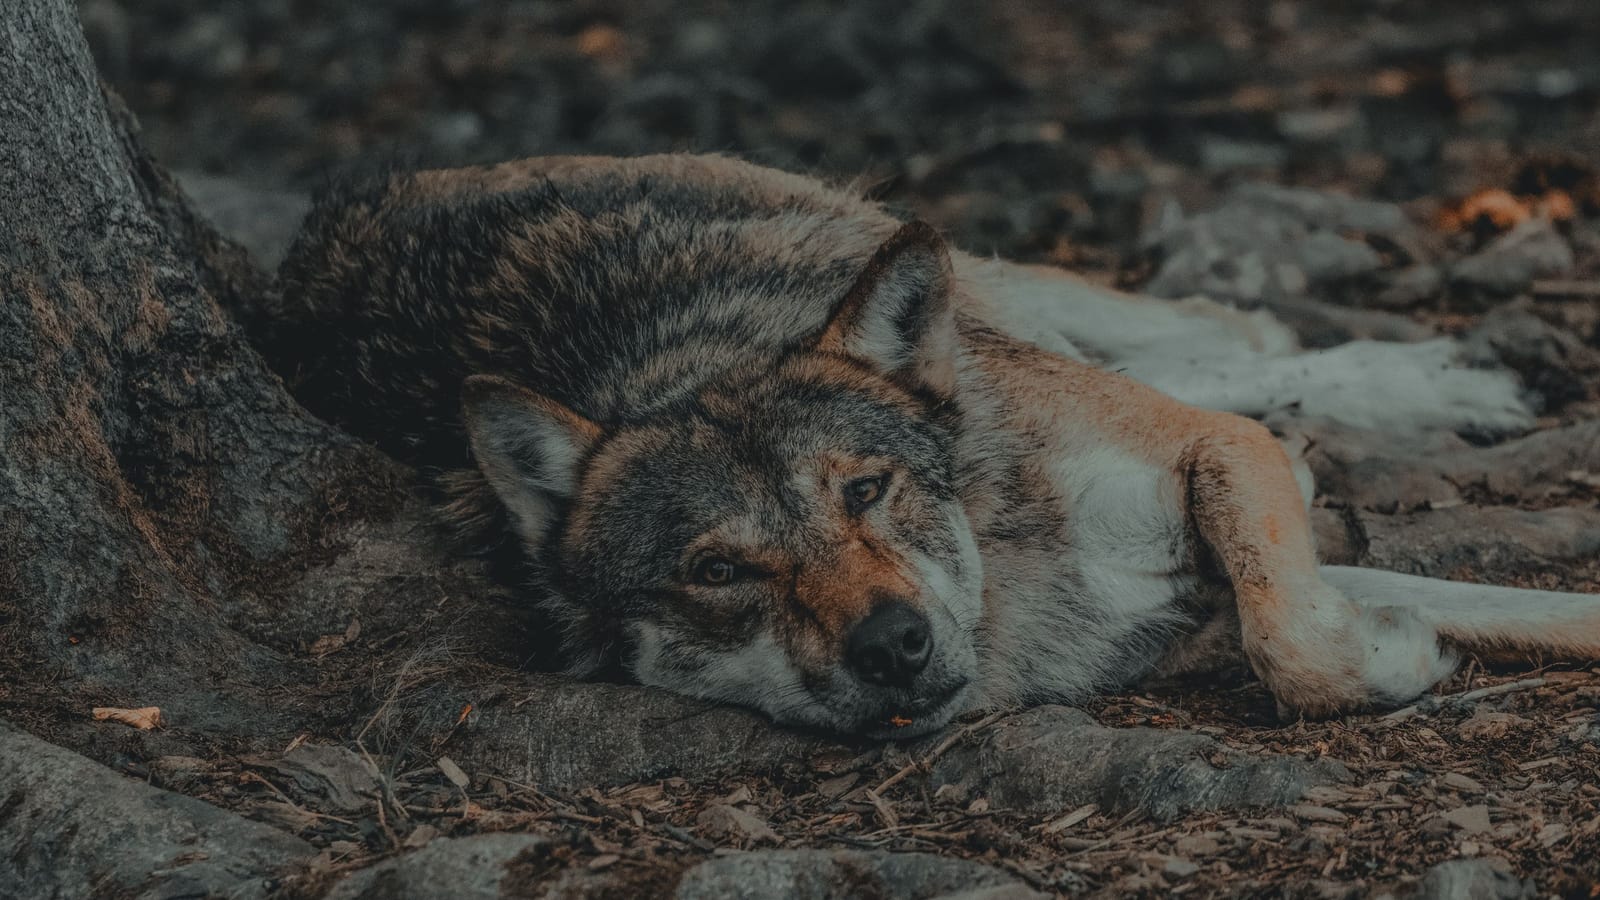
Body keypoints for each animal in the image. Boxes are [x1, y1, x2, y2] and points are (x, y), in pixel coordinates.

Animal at [276, 153, 1600, 738]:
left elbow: (1297, 637)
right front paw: (1399, 642)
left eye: (865, 490)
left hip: (983, 278)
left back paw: (1432, 382)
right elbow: (1344, 633)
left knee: (1223, 336)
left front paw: (1384, 648)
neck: (1017, 568)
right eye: (718, 572)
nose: (892, 644)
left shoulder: (1210, 453)